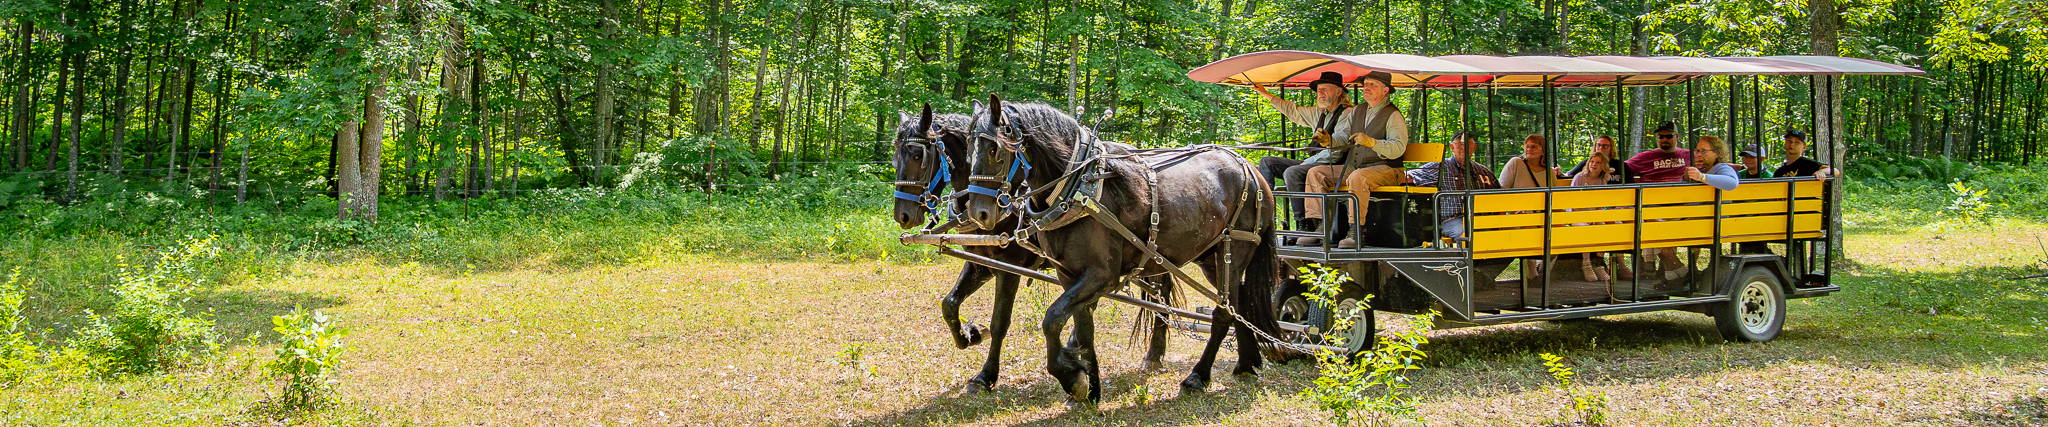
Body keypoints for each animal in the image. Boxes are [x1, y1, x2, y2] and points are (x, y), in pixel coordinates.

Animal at [888, 105, 1179, 392]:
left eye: (917, 155)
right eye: (894, 158)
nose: (902, 215)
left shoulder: (1009, 268)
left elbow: (999, 322)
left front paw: (986, 375)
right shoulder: (982, 263)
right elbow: (949, 304)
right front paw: (970, 335)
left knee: (1159, 293)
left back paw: (1150, 354)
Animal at [958, 94, 1277, 404]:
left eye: (995, 150)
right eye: (968, 150)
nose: (978, 213)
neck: (1078, 187)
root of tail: (1250, 168)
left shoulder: (1102, 275)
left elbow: (1051, 320)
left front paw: (1071, 377)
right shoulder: (1068, 274)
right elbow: (1083, 329)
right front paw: (1089, 388)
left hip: (1233, 252)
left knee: (1223, 314)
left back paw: (1197, 377)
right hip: (1210, 259)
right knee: (1238, 303)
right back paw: (1247, 364)